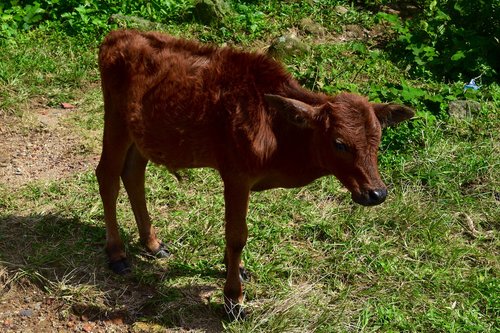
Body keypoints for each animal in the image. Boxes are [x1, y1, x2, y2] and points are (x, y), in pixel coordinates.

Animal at [96, 29, 414, 320]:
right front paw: (233, 301)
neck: (278, 134)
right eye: (339, 143)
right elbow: (237, 235)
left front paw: (234, 269)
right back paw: (117, 253)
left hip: (142, 134)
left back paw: (152, 243)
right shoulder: (236, 175)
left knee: (133, 174)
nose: (376, 193)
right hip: (115, 118)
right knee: (107, 175)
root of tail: (115, 35)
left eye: (378, 138)